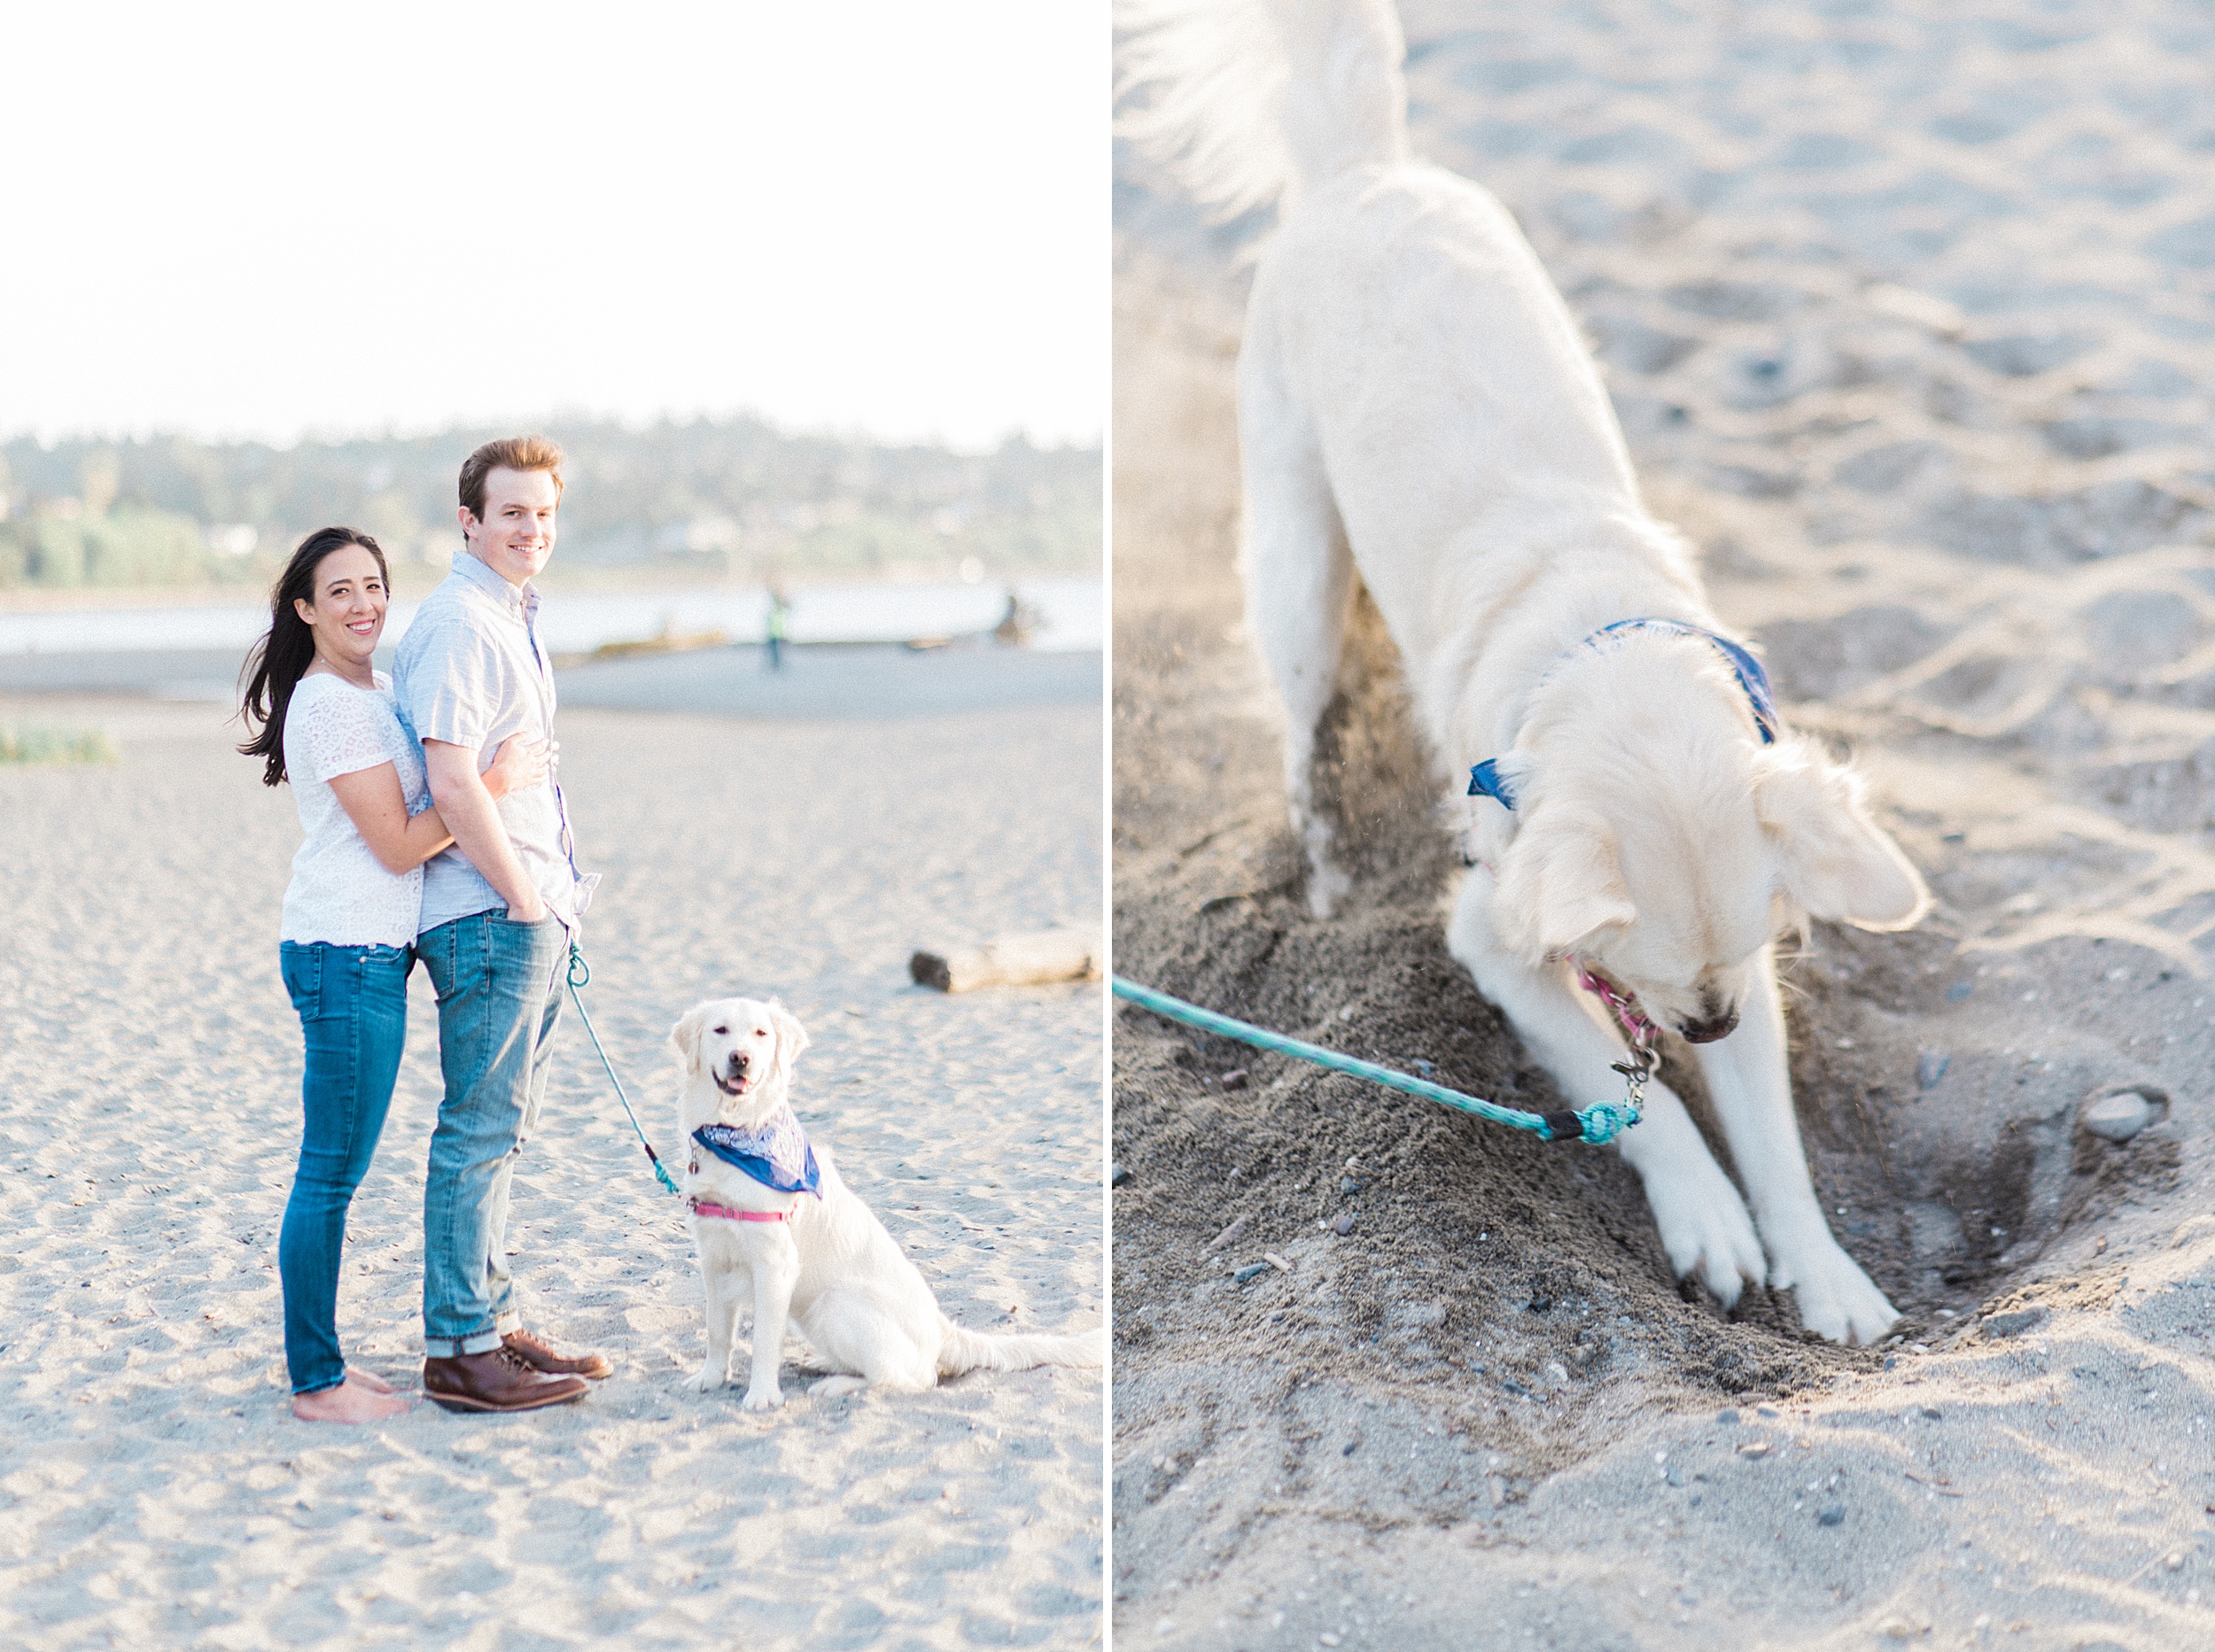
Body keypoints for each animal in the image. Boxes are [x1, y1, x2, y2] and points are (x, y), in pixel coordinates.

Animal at [660, 992, 1103, 1400]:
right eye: (720, 1031)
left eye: (760, 1034)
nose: (741, 1059)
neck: (734, 1132)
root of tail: (943, 1331)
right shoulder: (714, 1256)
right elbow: (718, 1331)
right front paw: (711, 1378)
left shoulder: (775, 1263)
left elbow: (765, 1340)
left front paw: (762, 1396)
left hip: (835, 1304)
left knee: (907, 1379)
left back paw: (837, 1384)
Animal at [1116, 0, 1931, 1338]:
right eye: (1633, 972)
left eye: (1723, 991)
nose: (1705, 1023)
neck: (1593, 639)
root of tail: (1366, 168)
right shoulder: (1495, 941)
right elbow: (1647, 1104)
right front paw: (1707, 1219)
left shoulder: (1751, 967)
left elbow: (1775, 1143)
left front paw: (1822, 1270)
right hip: (1291, 565)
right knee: (1302, 732)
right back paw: (1326, 870)